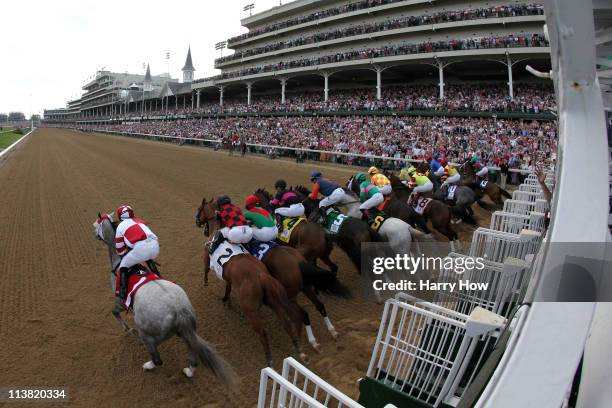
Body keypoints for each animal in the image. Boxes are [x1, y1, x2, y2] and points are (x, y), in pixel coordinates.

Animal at [92, 214, 234, 386]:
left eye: (97, 225)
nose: (95, 235)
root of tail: (179, 311)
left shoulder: (119, 300)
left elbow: (114, 312)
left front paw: (126, 329)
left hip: (148, 336)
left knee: (158, 359)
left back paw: (148, 365)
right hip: (187, 332)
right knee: (193, 357)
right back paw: (188, 371)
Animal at [196, 198, 306, 366]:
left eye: (199, 209)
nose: (196, 222)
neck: (217, 231)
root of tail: (262, 276)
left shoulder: (206, 257)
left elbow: (205, 269)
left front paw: (206, 282)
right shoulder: (229, 277)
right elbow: (228, 287)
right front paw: (226, 299)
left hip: (251, 310)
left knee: (263, 332)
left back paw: (269, 359)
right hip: (274, 301)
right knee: (286, 323)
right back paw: (300, 350)